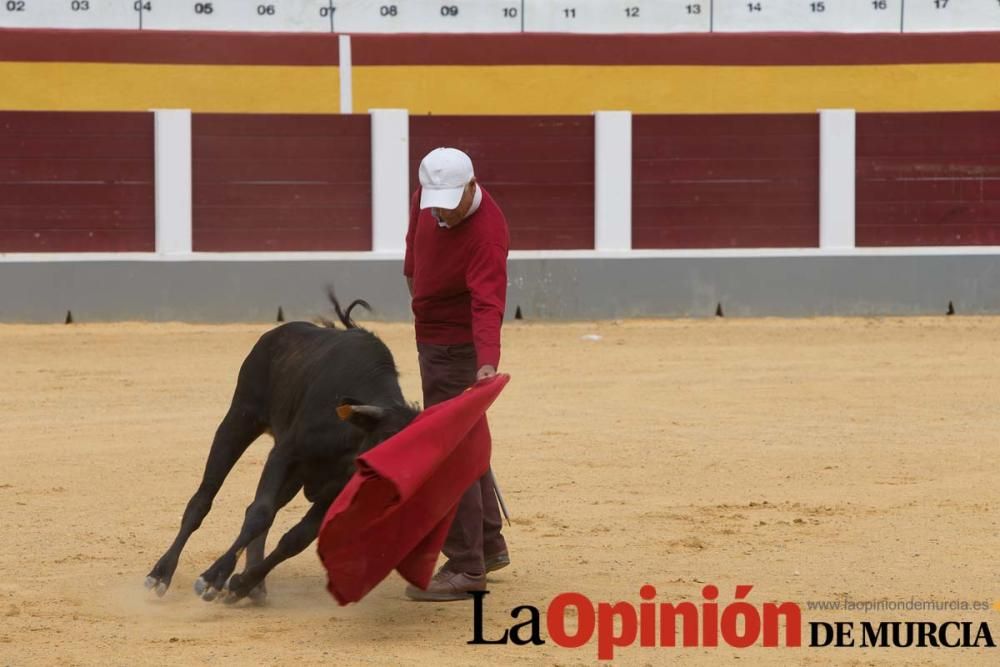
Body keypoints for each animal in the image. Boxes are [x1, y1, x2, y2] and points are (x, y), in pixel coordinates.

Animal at [145, 298, 418, 604]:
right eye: (386, 440)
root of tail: (277, 333)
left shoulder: (336, 489)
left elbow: (296, 538)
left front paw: (240, 583)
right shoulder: (286, 454)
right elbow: (260, 513)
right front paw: (213, 578)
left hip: (292, 474)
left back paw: (254, 587)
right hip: (239, 421)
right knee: (203, 499)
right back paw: (161, 574)